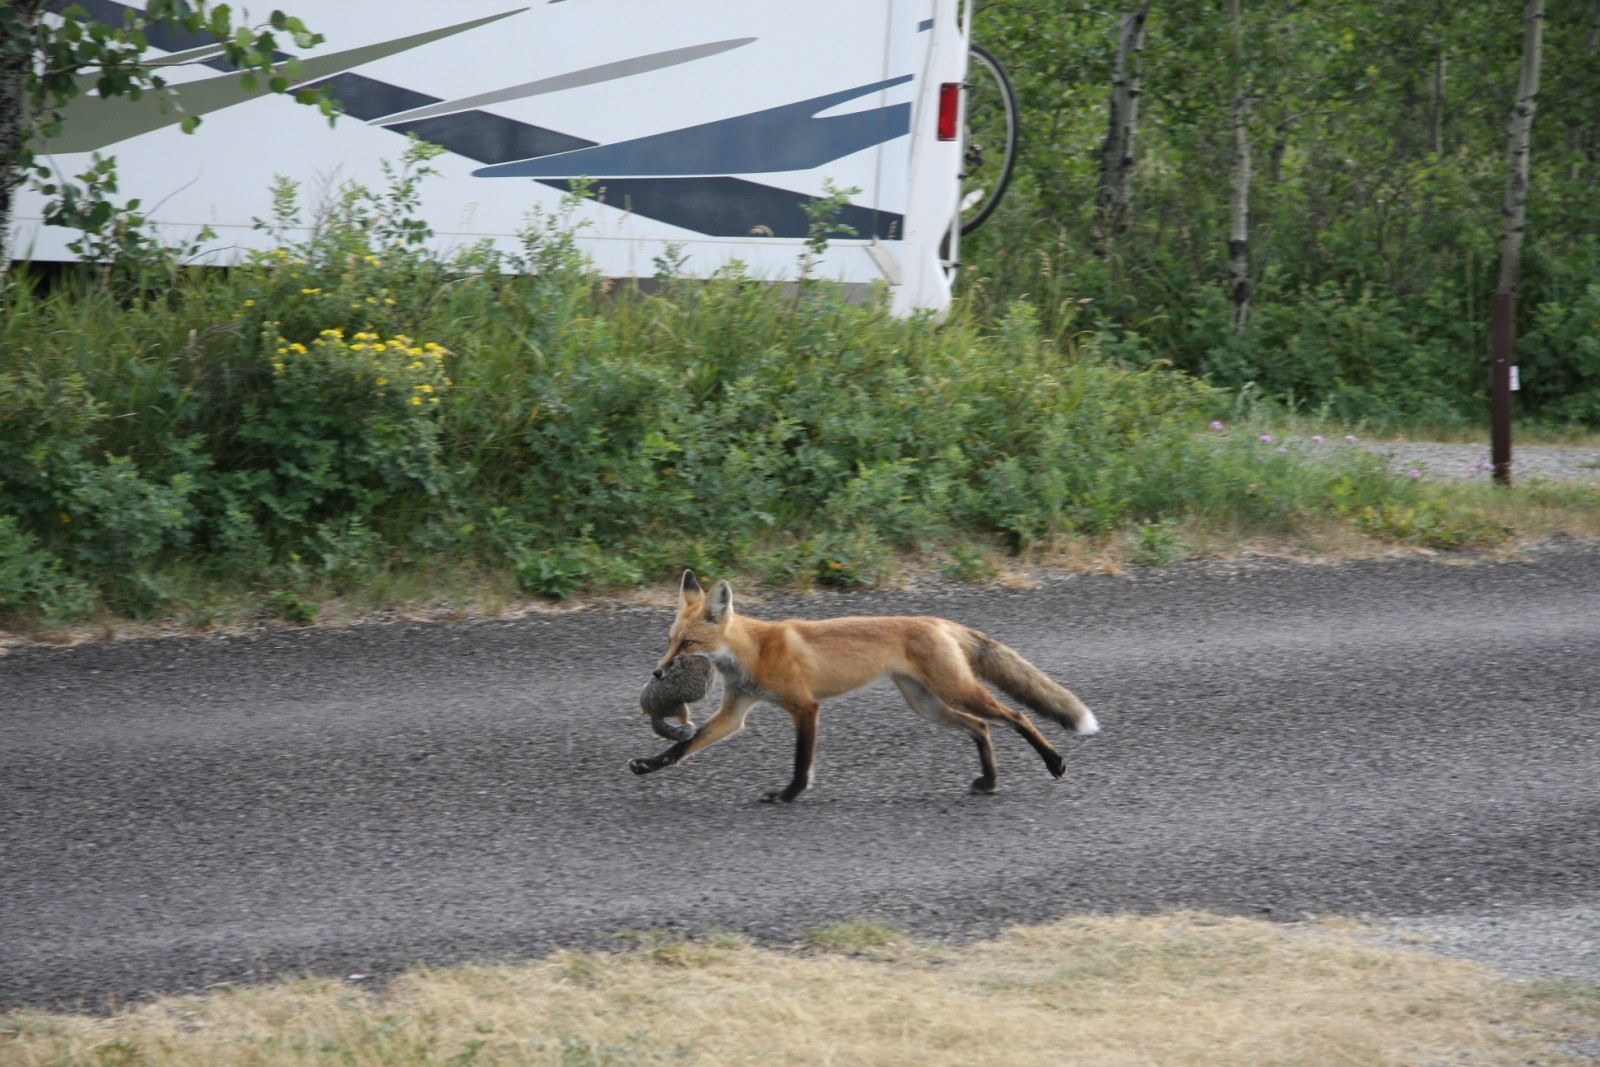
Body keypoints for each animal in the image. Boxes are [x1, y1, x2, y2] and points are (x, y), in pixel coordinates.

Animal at [627, 572, 1100, 806]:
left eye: (688, 644)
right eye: (670, 640)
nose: (657, 674)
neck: (754, 652)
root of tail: (937, 620)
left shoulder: (805, 707)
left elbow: (802, 762)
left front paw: (788, 794)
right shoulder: (735, 713)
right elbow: (682, 748)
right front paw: (648, 765)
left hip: (955, 691)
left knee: (1015, 716)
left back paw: (1053, 762)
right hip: (927, 705)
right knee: (981, 728)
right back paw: (990, 780)